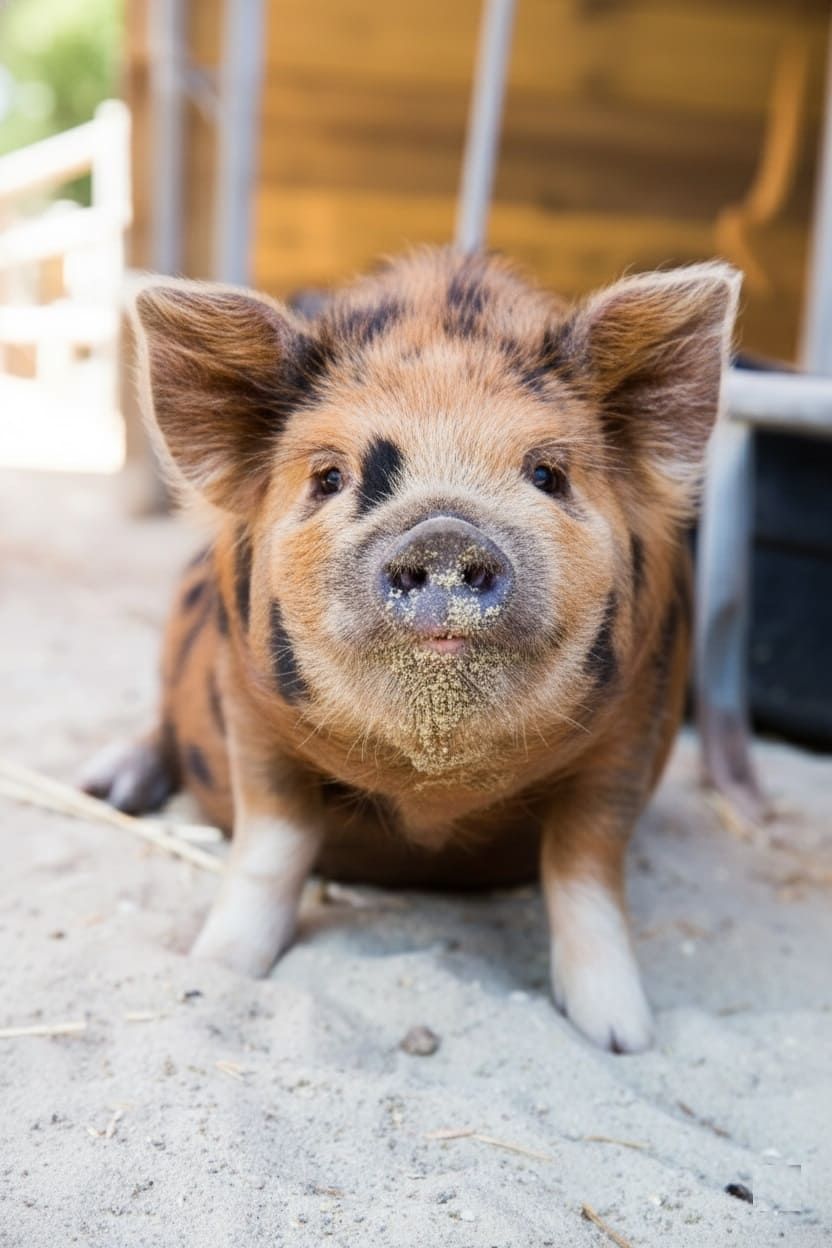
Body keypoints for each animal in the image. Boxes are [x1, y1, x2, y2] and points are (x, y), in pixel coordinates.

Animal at [83, 248, 740, 1052]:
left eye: (547, 474)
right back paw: (105, 788)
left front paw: (621, 1036)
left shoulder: (633, 726)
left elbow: (586, 866)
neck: (432, 792)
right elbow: (272, 841)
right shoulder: (249, 710)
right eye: (330, 476)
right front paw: (216, 970)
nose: (445, 531)